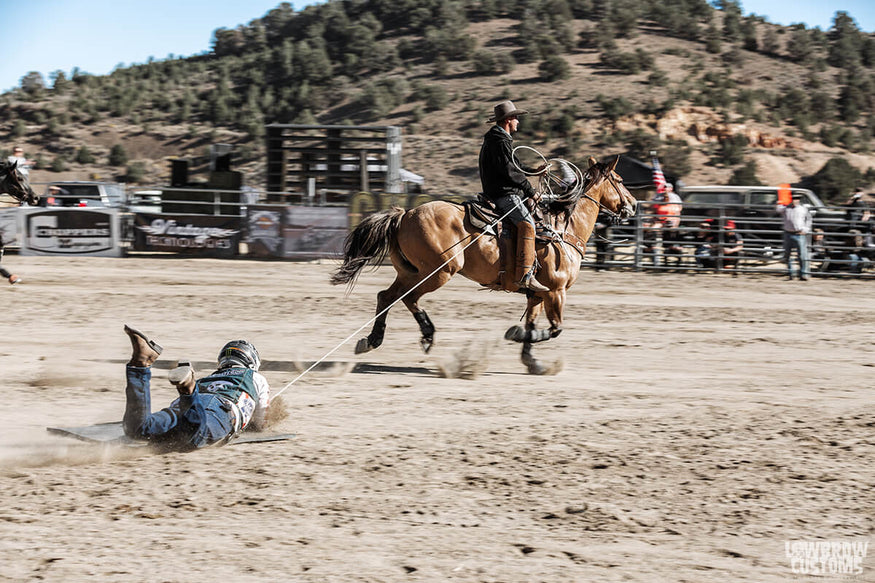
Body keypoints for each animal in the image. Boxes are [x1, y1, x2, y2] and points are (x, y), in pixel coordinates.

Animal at [328, 156, 636, 374]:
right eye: (620, 179)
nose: (632, 206)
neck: (563, 229)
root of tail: (405, 214)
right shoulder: (556, 292)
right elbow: (555, 328)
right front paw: (515, 334)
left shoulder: (537, 293)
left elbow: (533, 325)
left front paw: (532, 361)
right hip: (439, 272)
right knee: (407, 298)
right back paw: (426, 335)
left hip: (410, 272)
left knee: (387, 297)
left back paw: (371, 340)